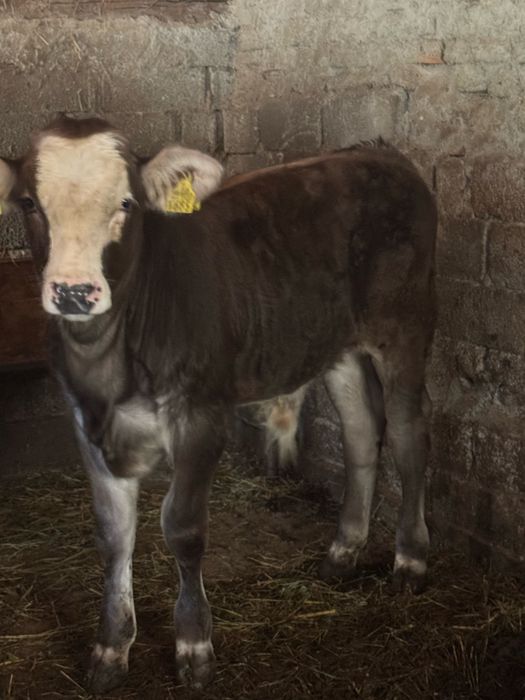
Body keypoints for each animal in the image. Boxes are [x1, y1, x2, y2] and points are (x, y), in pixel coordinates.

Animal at [0, 116, 436, 693]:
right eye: (29, 202)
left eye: (127, 202)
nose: (74, 291)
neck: (112, 363)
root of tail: (381, 153)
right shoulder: (86, 423)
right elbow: (113, 536)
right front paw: (111, 650)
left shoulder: (202, 415)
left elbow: (183, 529)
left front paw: (193, 646)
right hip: (336, 344)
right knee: (362, 433)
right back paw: (344, 550)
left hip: (405, 327)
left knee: (410, 437)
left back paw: (410, 559)